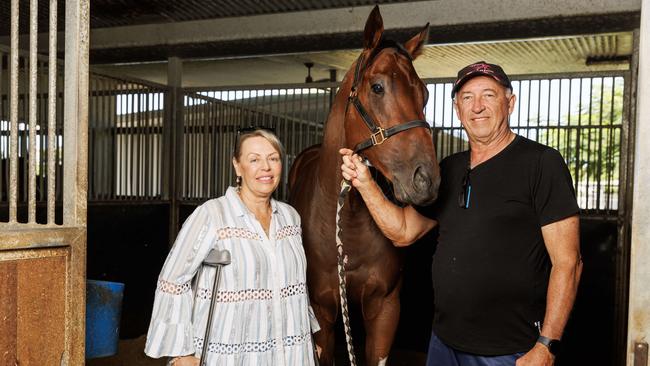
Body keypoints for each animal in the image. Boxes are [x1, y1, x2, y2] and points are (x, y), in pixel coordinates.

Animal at [290, 6, 438, 366]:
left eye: (425, 94)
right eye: (378, 87)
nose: (425, 179)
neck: (349, 219)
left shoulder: (385, 308)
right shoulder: (321, 311)